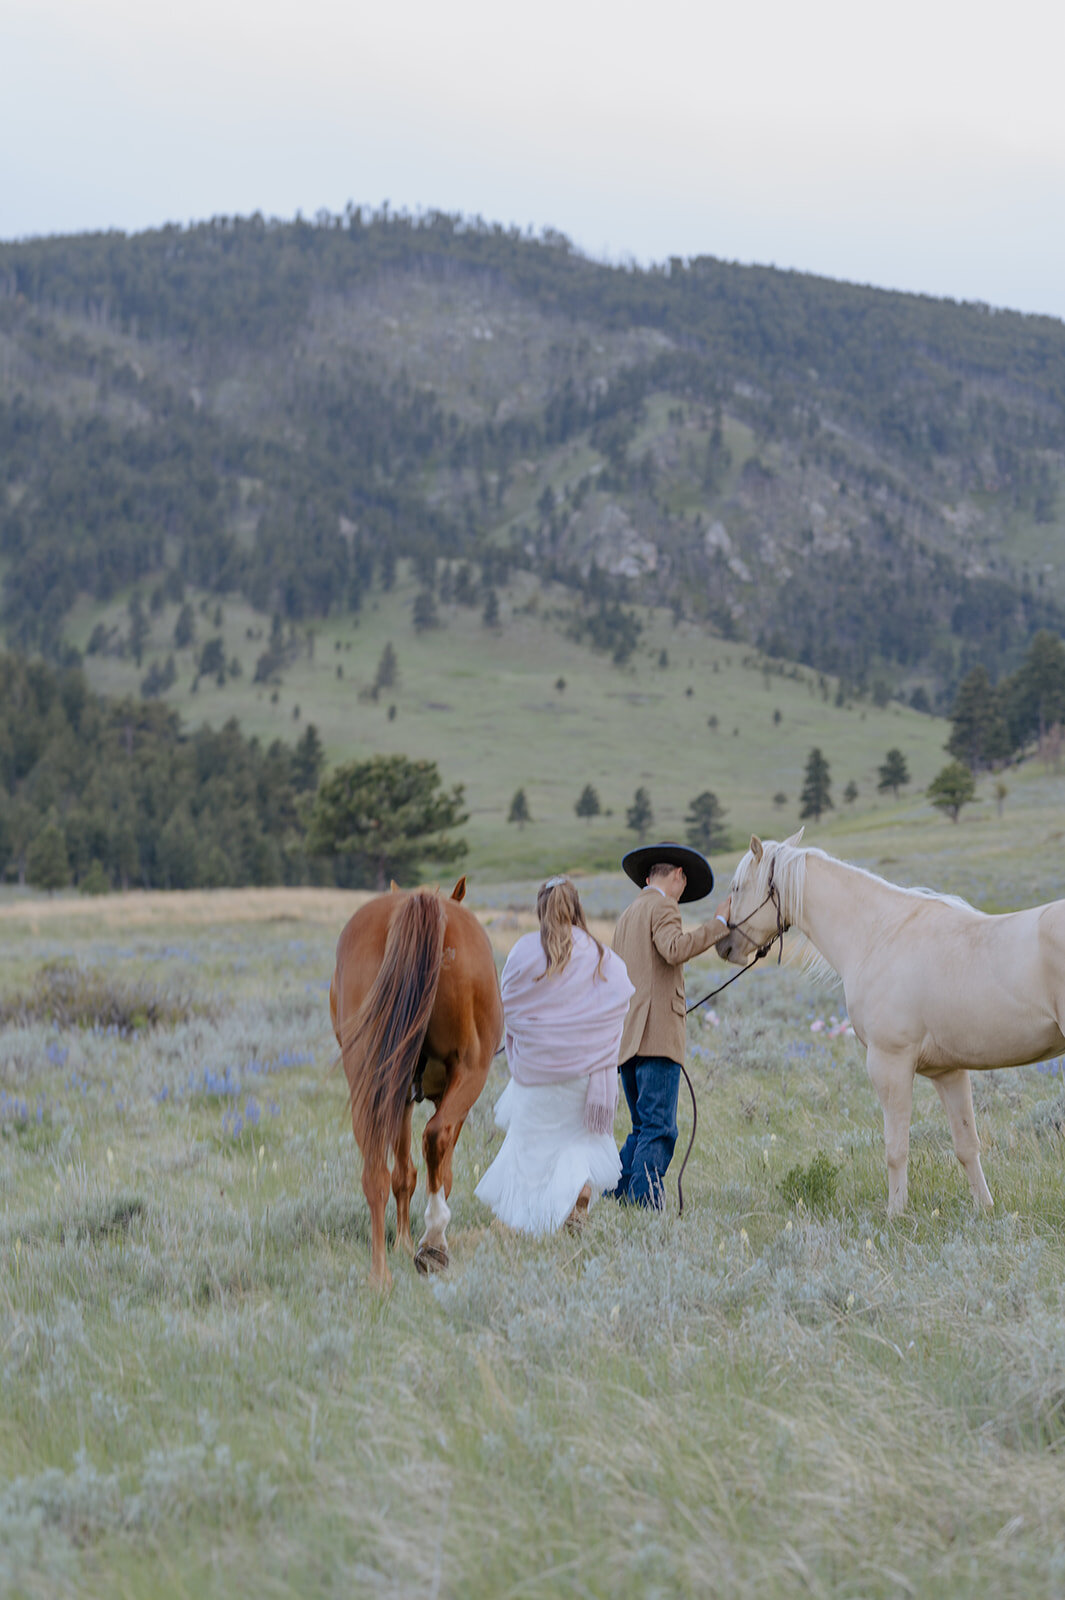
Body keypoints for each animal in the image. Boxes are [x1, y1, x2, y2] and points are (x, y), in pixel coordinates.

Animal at [327, 876, 502, 1286]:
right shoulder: (449, 1092)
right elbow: (443, 1166)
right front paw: (417, 1242)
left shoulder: (402, 1095)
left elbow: (403, 1173)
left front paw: (402, 1243)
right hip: (471, 1070)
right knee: (435, 1137)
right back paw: (433, 1241)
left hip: (369, 1080)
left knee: (375, 1171)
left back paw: (380, 1274)